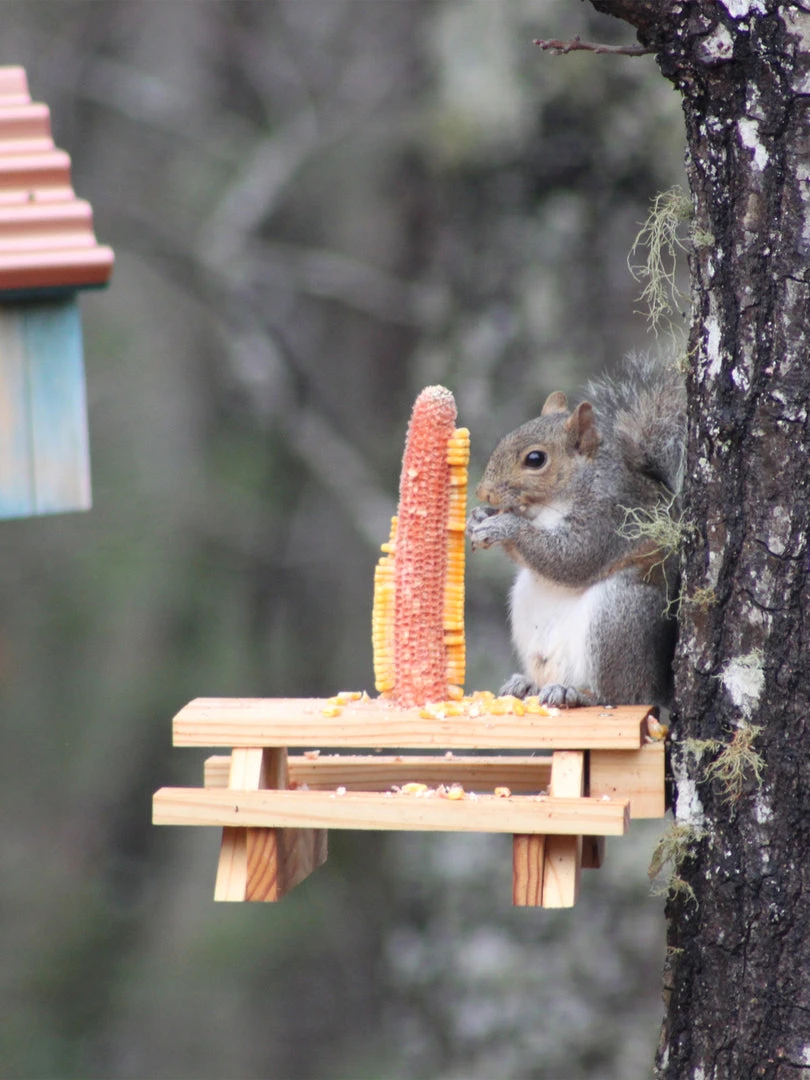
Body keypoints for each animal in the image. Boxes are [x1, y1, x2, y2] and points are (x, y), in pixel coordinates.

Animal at [466, 354, 685, 708]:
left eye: (535, 459)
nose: (484, 493)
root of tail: (658, 690)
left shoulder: (609, 518)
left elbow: (572, 558)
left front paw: (503, 526)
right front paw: (478, 518)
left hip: (618, 616)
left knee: (620, 694)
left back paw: (579, 694)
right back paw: (527, 684)